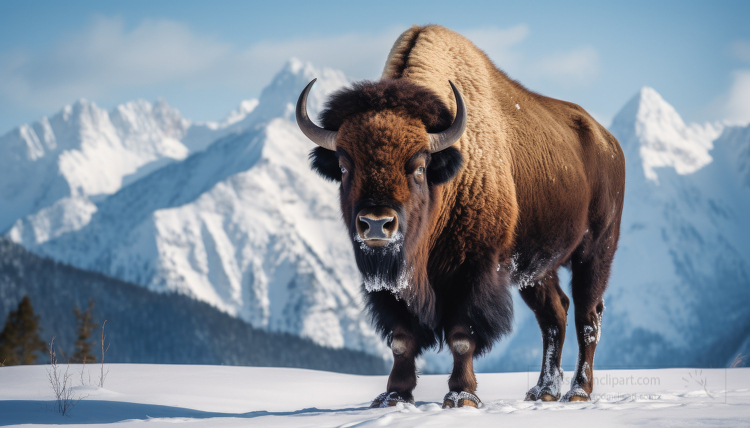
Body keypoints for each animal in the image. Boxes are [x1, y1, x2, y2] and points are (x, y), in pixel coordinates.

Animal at [296, 25, 624, 406]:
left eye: (419, 167)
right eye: (345, 166)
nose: (377, 224)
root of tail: (608, 142)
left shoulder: (474, 271)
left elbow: (461, 336)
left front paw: (461, 395)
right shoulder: (392, 282)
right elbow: (402, 339)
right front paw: (394, 395)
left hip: (595, 252)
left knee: (588, 315)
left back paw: (577, 392)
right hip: (536, 269)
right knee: (554, 315)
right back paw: (542, 391)